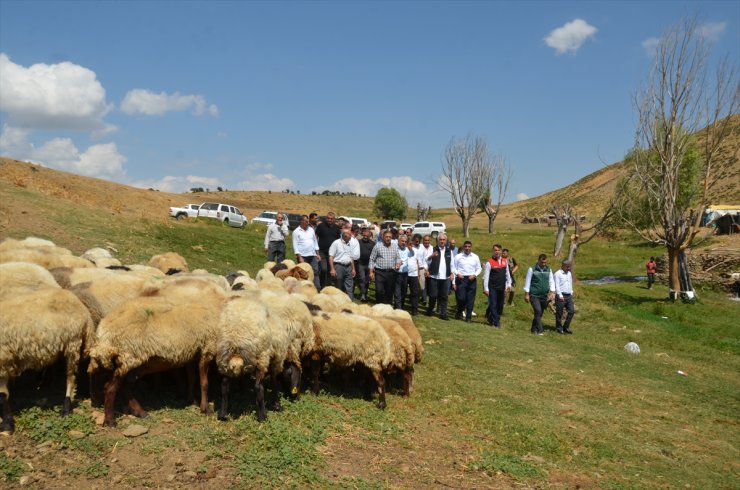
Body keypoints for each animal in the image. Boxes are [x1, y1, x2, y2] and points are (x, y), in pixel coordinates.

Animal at [0, 288, 95, 432]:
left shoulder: (4, 360)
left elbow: (2, 395)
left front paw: (6, 424)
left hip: (73, 342)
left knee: (71, 377)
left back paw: (66, 408)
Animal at [88, 278, 225, 426]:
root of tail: (104, 331)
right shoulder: (207, 348)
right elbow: (204, 382)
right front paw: (205, 408)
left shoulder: (191, 352)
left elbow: (192, 378)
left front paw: (191, 399)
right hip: (127, 357)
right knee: (110, 388)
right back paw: (110, 420)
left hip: (135, 363)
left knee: (125, 388)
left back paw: (141, 412)